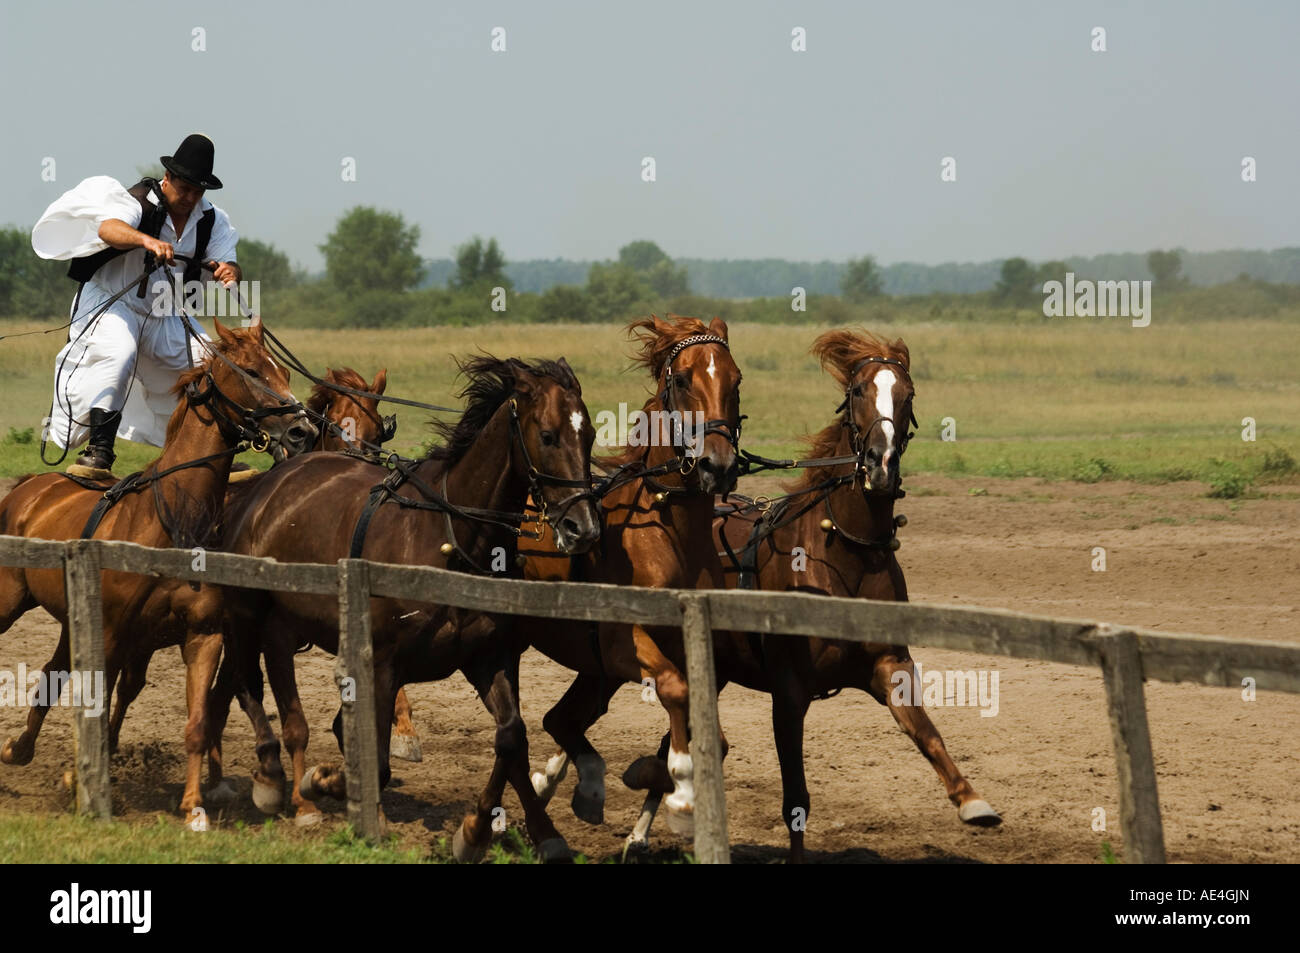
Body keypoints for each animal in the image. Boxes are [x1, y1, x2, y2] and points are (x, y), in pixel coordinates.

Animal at [0, 317, 314, 811]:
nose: (302, 431)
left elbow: (198, 722)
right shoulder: (111, 635)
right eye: (250, 372)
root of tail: (30, 487)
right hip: (11, 601)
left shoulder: (202, 635)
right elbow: (98, 702)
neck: (171, 518)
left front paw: (193, 806)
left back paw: (20, 749)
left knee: (53, 672)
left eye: (281, 370)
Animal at [211, 353, 598, 858]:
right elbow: (373, 756)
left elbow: (512, 738)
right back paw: (277, 782)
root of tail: (265, 487)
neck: (450, 534)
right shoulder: (382, 663)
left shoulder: (489, 657)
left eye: (590, 436)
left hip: (285, 627)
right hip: (247, 615)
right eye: (548, 435)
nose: (583, 527)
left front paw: (489, 833)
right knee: (249, 685)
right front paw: (327, 783)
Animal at [517, 312, 743, 832]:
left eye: (736, 380)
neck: (669, 532)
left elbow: (714, 737)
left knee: (562, 719)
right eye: (682, 380)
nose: (718, 465)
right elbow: (675, 689)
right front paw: (681, 791)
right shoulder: (625, 643)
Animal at [624, 330, 998, 858]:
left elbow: (926, 732)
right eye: (859, 391)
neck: (846, 549)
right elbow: (795, 799)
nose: (881, 464)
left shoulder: (889, 664)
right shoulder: (789, 692)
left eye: (907, 395)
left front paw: (971, 800)